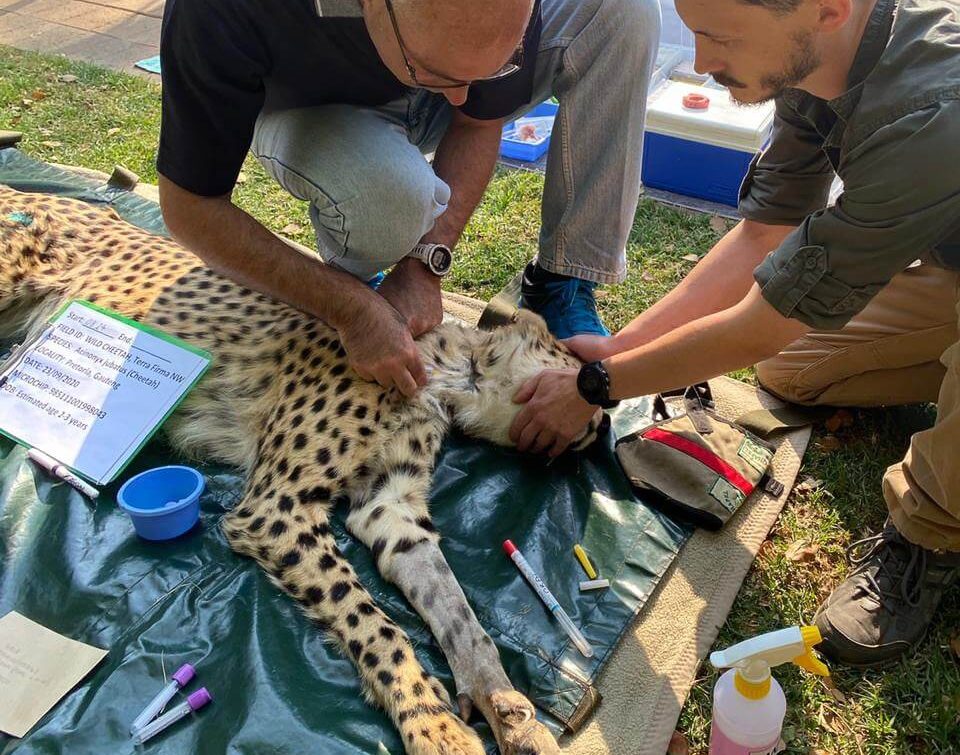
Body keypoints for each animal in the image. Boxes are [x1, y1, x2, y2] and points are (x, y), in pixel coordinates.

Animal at [0, 185, 604, 755]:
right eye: (587, 375)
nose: (599, 429)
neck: (455, 373)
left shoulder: (390, 509)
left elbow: (461, 618)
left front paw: (508, 710)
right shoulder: (275, 508)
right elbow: (373, 622)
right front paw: (433, 724)